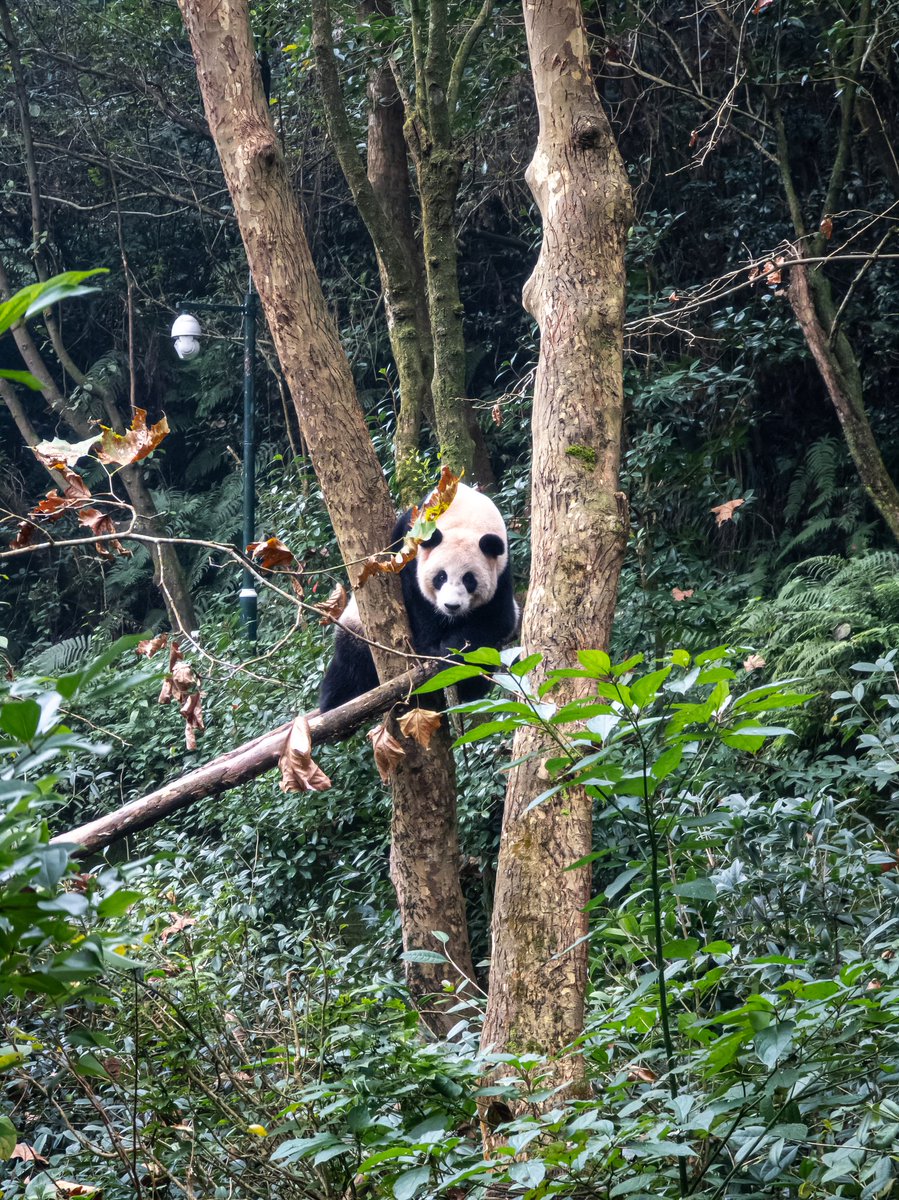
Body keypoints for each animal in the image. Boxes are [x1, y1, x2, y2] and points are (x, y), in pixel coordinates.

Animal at [319, 484, 518, 713]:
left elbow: (495, 621)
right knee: (351, 664)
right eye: (441, 577)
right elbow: (418, 603)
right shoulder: (408, 549)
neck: (466, 516)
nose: (451, 606)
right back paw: (335, 702)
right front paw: (429, 649)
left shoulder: (501, 572)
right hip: (356, 627)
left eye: (469, 579)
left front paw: (452, 657)